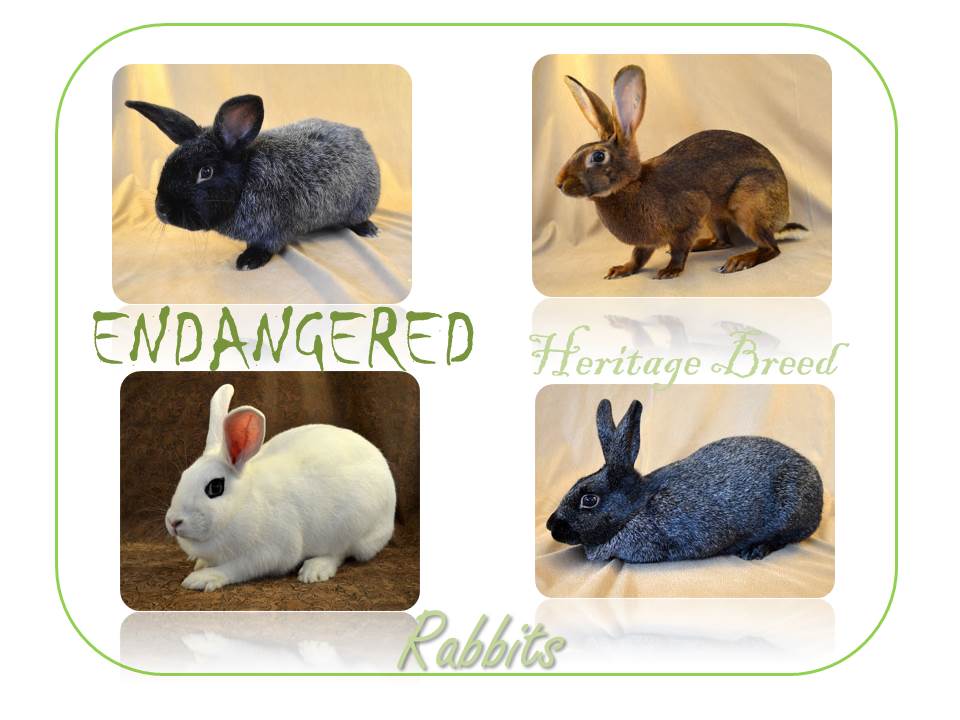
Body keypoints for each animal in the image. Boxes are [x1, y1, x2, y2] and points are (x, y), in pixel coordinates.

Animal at [126, 94, 381, 270]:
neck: (246, 180)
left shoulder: (271, 231)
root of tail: (360, 137)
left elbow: (265, 246)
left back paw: (369, 230)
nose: (162, 210)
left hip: (362, 202)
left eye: (206, 172)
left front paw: (248, 261)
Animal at [164, 384, 396, 591]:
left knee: (340, 552)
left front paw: (202, 578)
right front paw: (201, 564)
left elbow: (237, 567)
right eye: (183, 476)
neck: (243, 504)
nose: (173, 522)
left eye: (215, 488)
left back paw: (315, 570)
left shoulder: (269, 552)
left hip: (352, 527)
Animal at [554, 65, 808, 279]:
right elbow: (638, 256)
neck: (632, 184)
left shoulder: (689, 216)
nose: (559, 183)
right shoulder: (647, 241)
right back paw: (703, 246)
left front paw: (670, 271)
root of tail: (781, 218)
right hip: (714, 216)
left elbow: (678, 248)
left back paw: (739, 261)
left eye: (598, 156)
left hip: (748, 203)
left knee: (770, 248)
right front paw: (622, 270)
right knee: (724, 241)